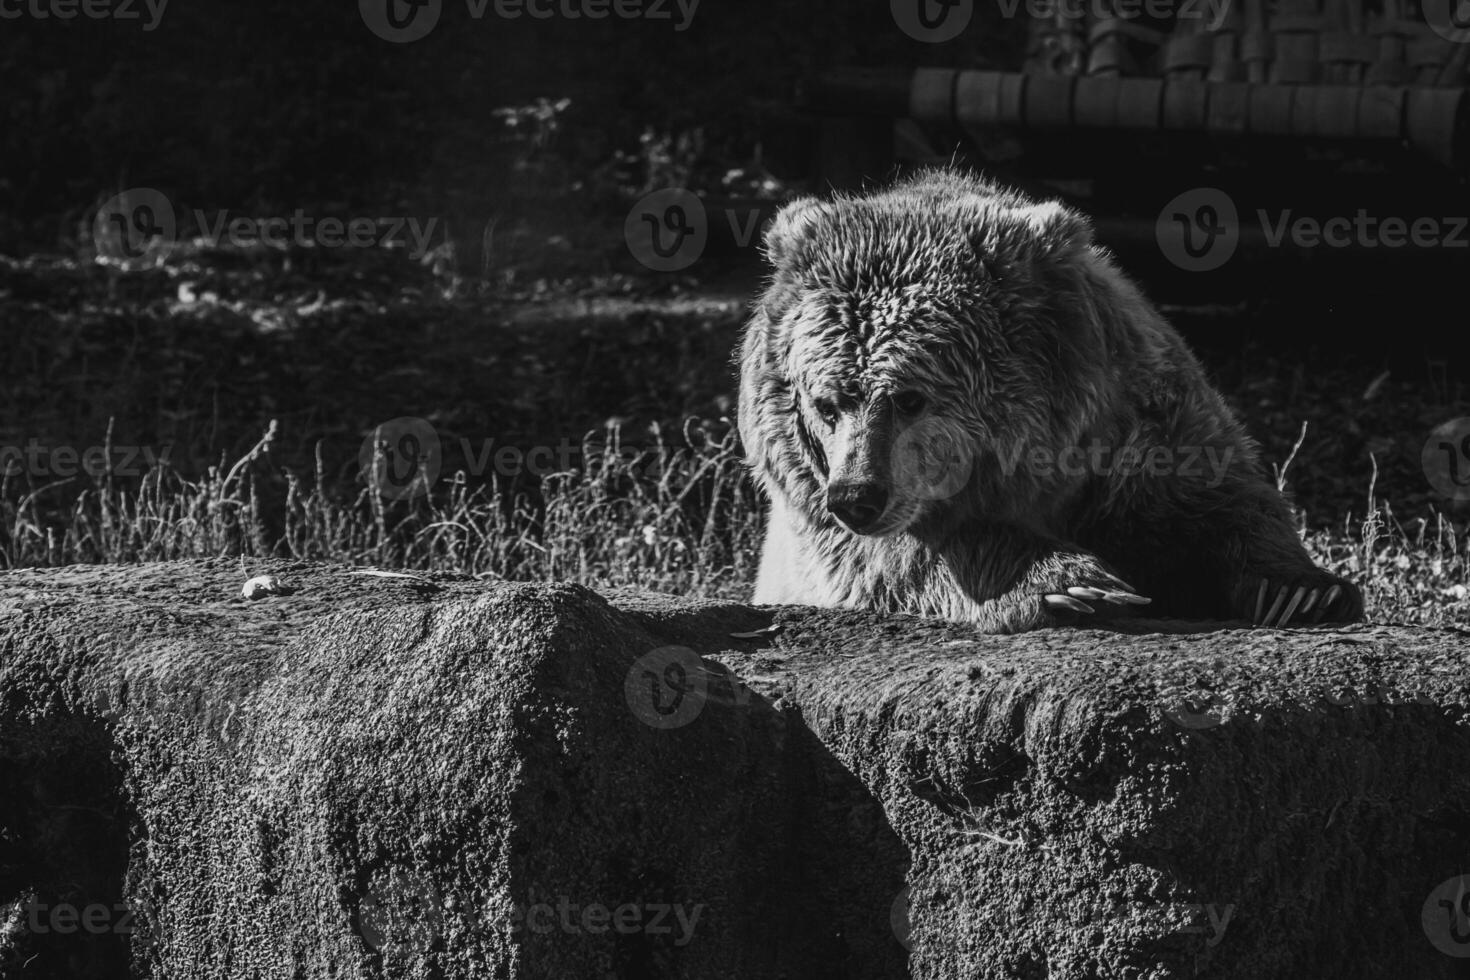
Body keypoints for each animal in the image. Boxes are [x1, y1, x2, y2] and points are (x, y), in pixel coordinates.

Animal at [735, 170, 1364, 637]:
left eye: (911, 398)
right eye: (826, 404)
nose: (856, 498)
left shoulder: (1137, 434)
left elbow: (1221, 500)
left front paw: (1301, 592)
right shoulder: (813, 511)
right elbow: (899, 558)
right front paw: (1071, 582)